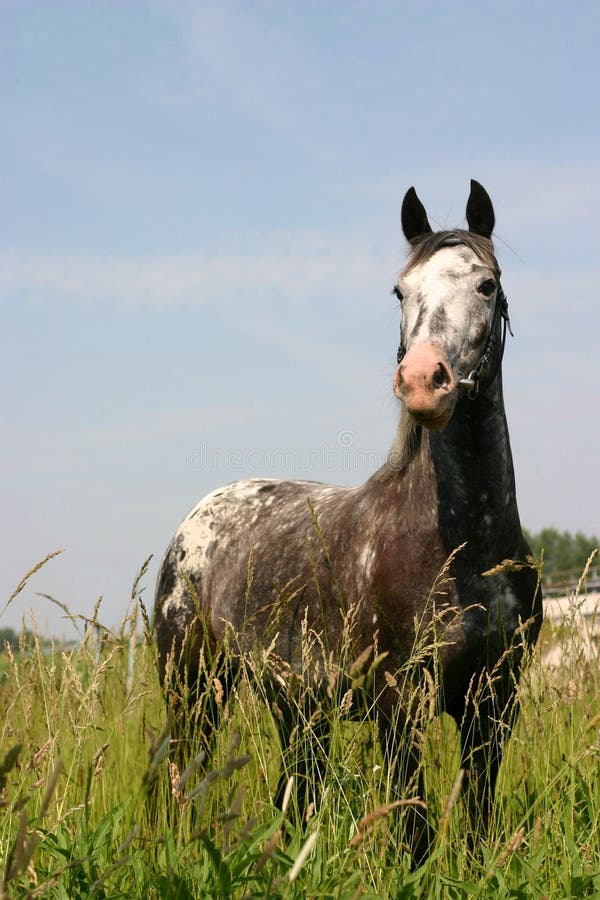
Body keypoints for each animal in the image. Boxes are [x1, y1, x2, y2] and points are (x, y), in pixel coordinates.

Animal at [152, 178, 540, 856]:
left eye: (486, 284)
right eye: (401, 291)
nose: (423, 381)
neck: (466, 548)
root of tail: (195, 522)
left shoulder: (493, 702)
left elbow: (477, 825)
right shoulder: (399, 703)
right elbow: (414, 828)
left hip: (295, 706)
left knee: (295, 791)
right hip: (193, 691)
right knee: (187, 779)